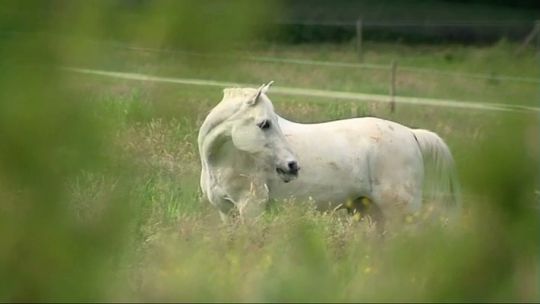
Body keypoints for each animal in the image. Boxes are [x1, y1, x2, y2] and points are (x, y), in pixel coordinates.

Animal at [198, 82, 460, 222]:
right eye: (265, 124)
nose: (292, 166)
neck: (221, 161)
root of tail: (412, 134)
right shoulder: (226, 212)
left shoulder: (251, 208)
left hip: (399, 213)